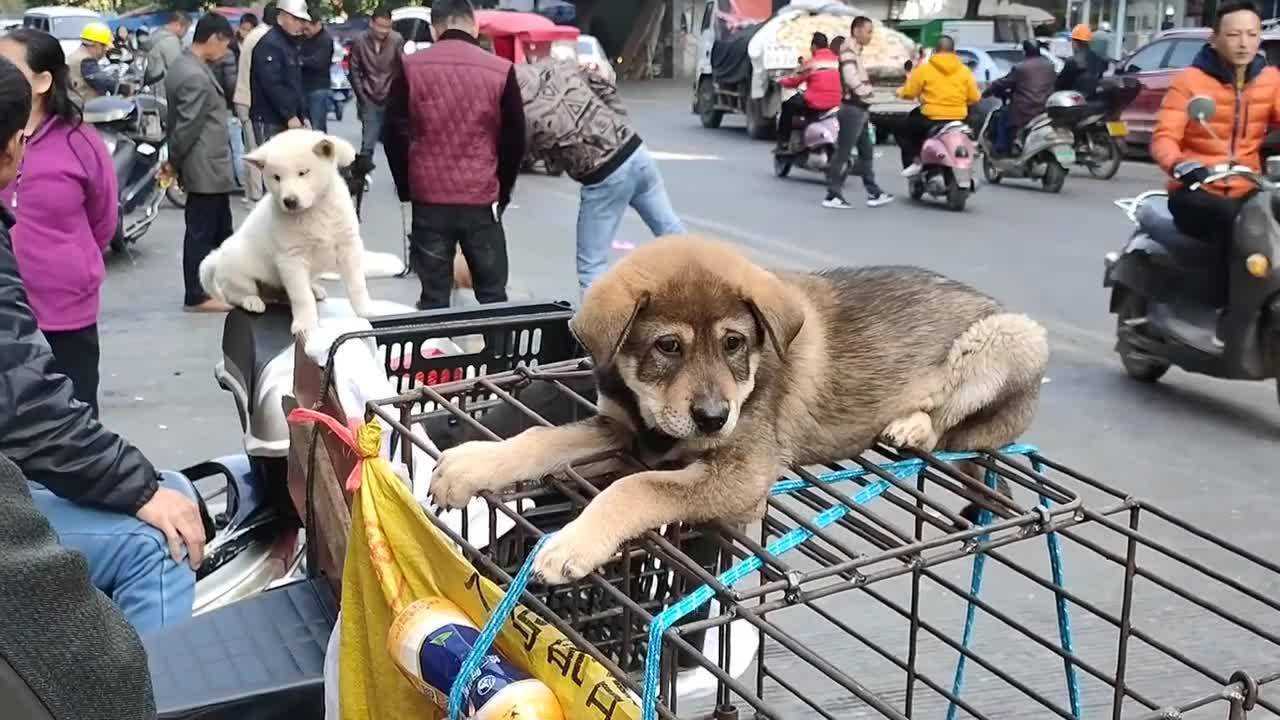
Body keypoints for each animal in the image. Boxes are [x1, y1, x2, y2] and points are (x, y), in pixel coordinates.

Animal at [197, 128, 373, 335]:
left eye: (303, 172)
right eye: (276, 177)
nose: (289, 201)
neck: (314, 211)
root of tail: (217, 256)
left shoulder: (348, 244)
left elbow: (357, 284)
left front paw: (366, 310)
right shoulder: (291, 259)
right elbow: (301, 297)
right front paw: (305, 324)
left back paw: (313, 289)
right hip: (240, 275)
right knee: (236, 295)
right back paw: (252, 301)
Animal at [430, 235, 1049, 584]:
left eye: (734, 343)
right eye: (667, 347)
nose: (712, 418)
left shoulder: (743, 473)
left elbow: (636, 488)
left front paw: (573, 543)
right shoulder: (626, 429)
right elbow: (544, 439)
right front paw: (471, 465)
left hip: (1013, 337)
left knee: (954, 423)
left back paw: (912, 426)